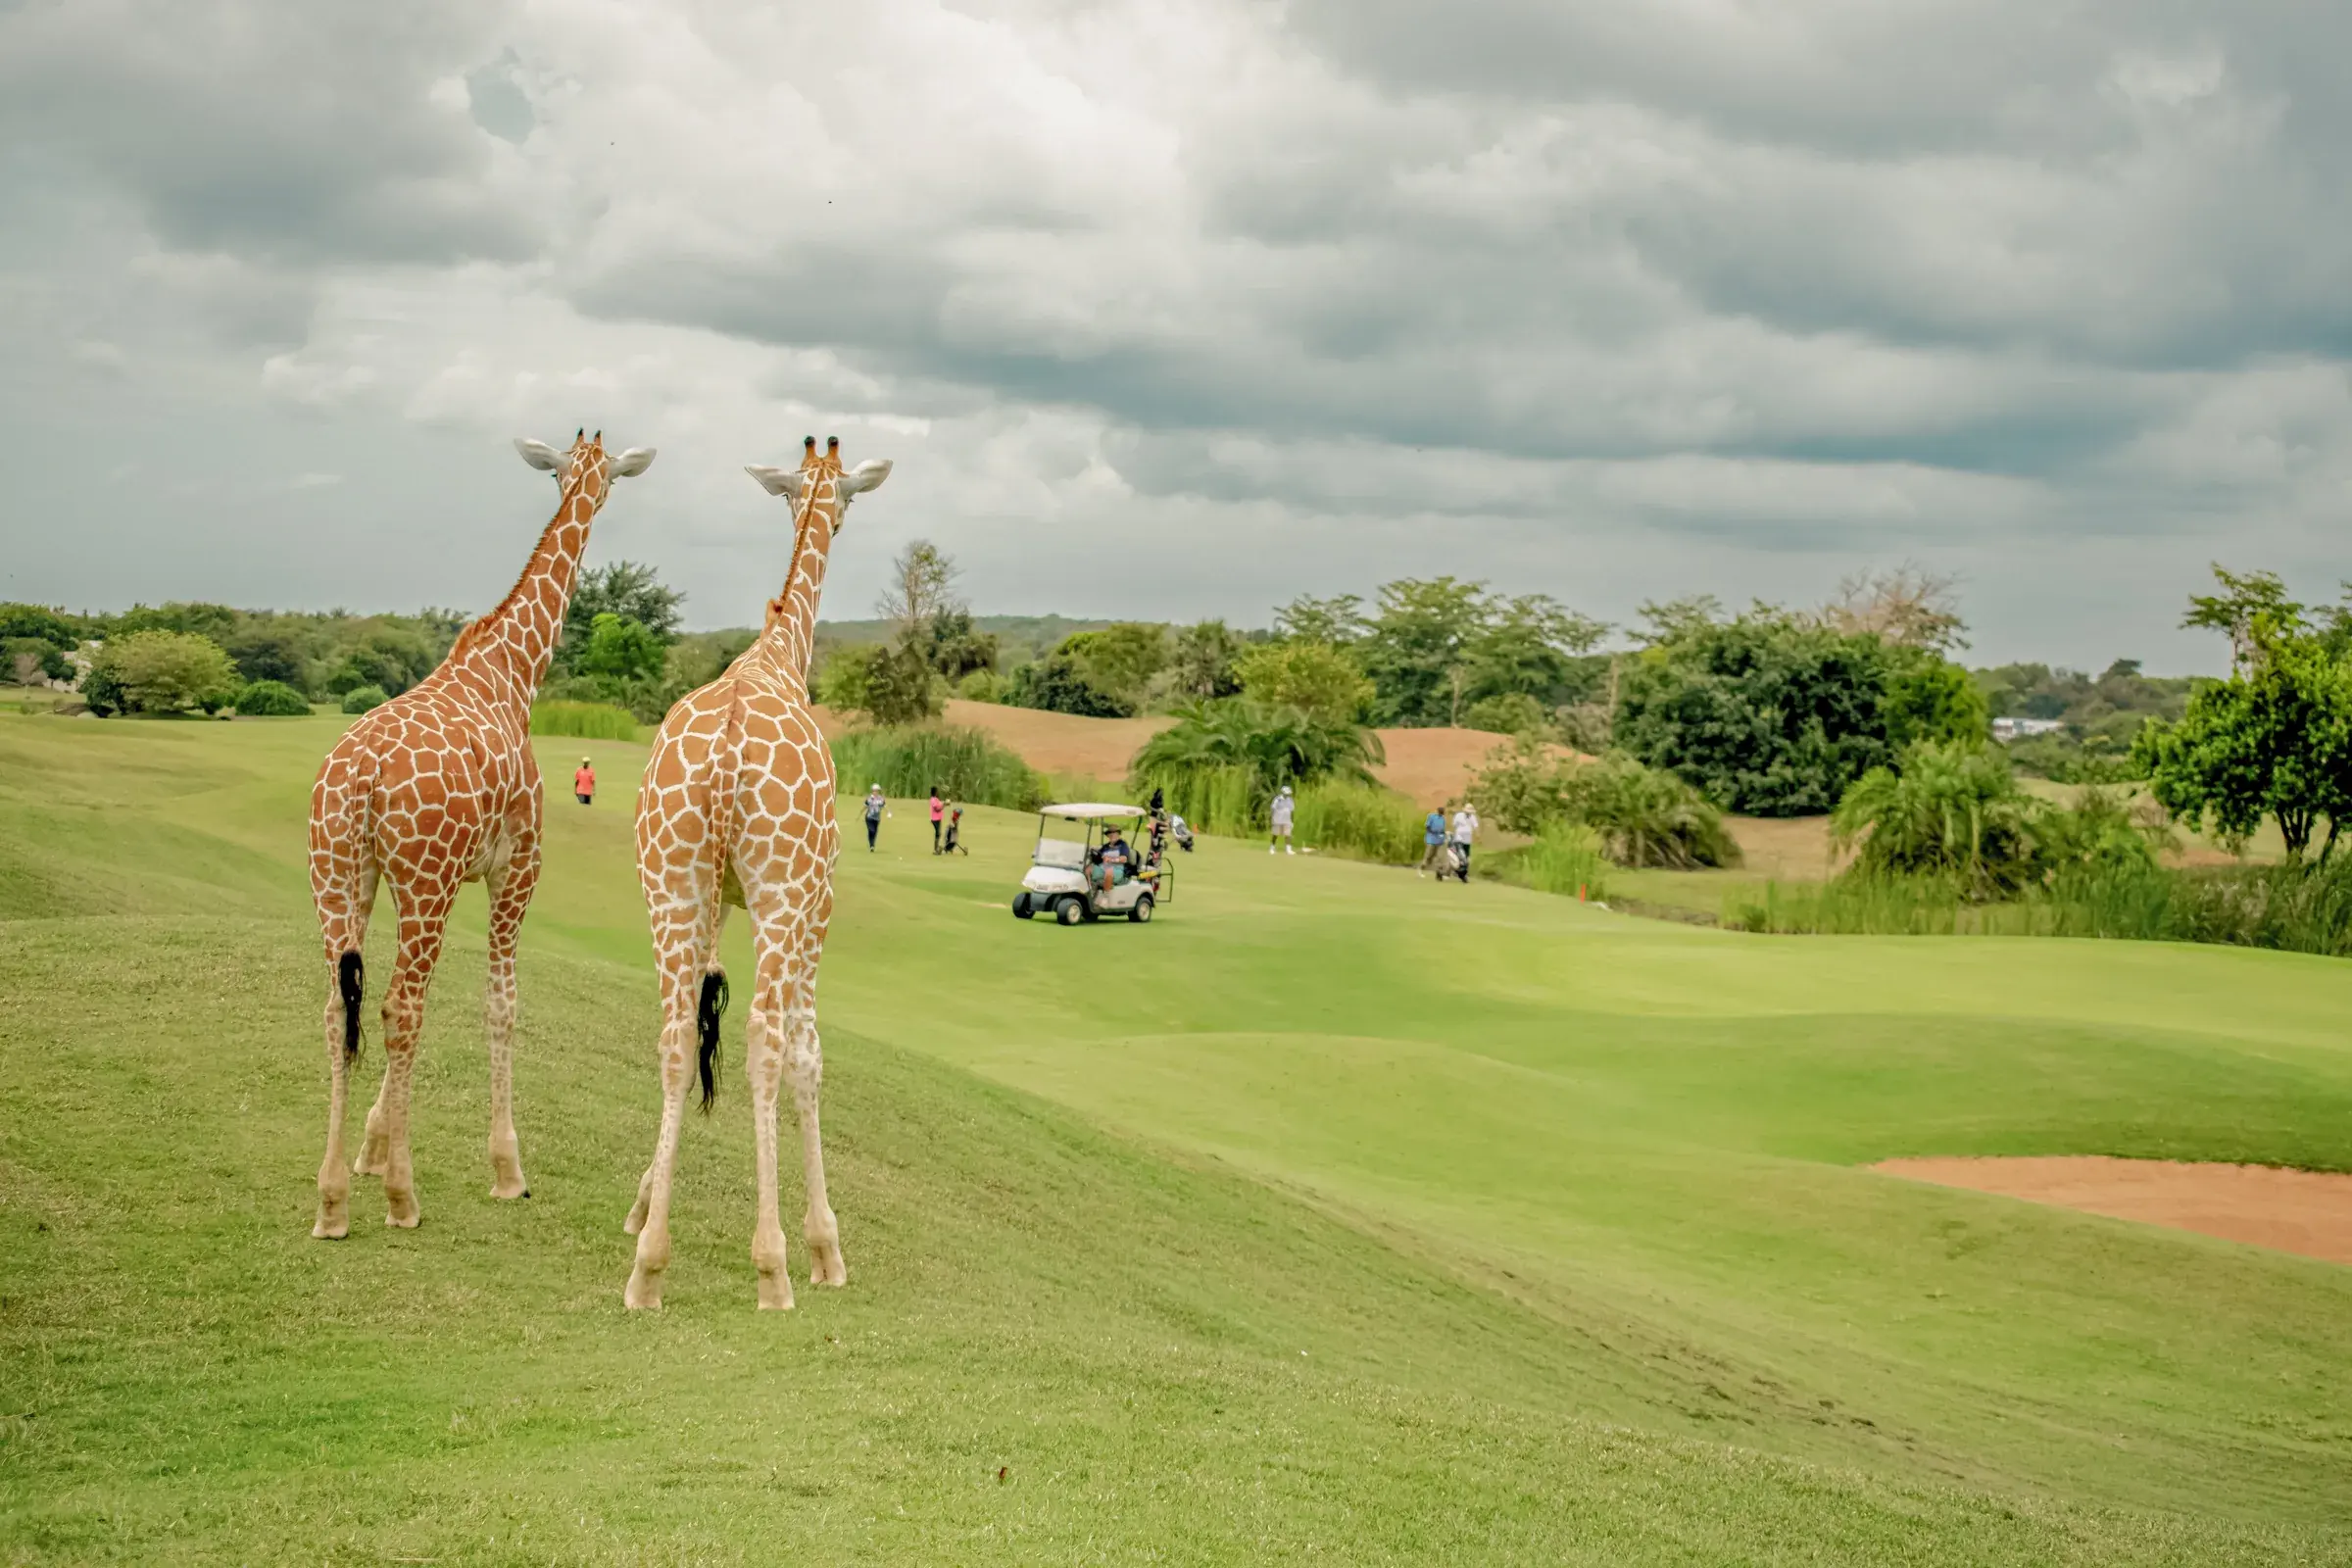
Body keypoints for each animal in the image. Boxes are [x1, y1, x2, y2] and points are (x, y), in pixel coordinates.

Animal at [309, 429, 655, 1240]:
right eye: (596, 473)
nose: (594, 492)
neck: (515, 670)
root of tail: (358, 780)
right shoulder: (515, 868)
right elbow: (503, 1002)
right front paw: (506, 1169)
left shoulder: (446, 875)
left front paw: (371, 1147)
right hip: (421, 882)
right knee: (400, 1007)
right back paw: (402, 1198)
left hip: (340, 872)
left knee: (341, 1003)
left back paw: (333, 1199)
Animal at [624, 434, 891, 1309]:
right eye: (848, 497)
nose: (837, 515)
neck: (779, 652)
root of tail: (726, 756)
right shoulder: (817, 900)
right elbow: (809, 1054)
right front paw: (825, 1246)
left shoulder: (717, 898)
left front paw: (643, 1203)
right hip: (780, 892)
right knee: (767, 1041)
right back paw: (773, 1264)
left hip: (668, 882)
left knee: (676, 1034)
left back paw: (648, 1267)